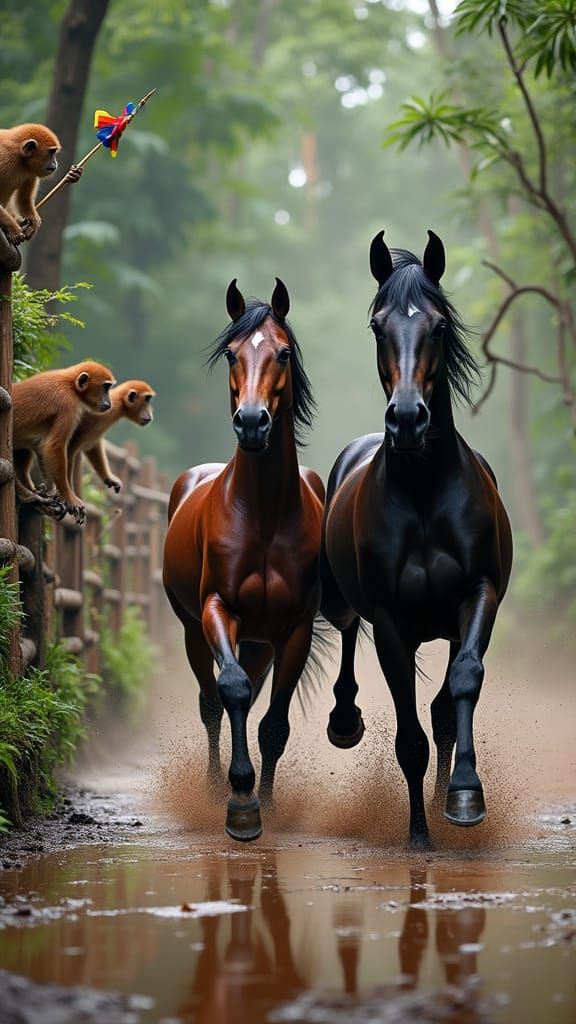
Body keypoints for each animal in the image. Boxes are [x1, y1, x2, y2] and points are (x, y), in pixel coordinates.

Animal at [163, 278, 324, 842]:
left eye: (283, 352)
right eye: (232, 353)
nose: (252, 423)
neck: (264, 515)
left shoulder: (294, 630)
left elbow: (273, 722)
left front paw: (266, 804)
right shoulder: (218, 609)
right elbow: (229, 690)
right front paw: (239, 803)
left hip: (259, 644)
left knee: (253, 700)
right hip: (193, 630)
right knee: (213, 703)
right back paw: (216, 786)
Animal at [319, 229, 513, 848]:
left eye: (440, 326)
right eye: (377, 325)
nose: (407, 419)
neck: (426, 492)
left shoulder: (478, 595)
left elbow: (462, 686)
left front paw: (465, 798)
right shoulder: (390, 621)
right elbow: (409, 735)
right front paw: (419, 836)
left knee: (446, 706)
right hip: (343, 602)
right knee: (347, 632)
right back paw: (344, 721)